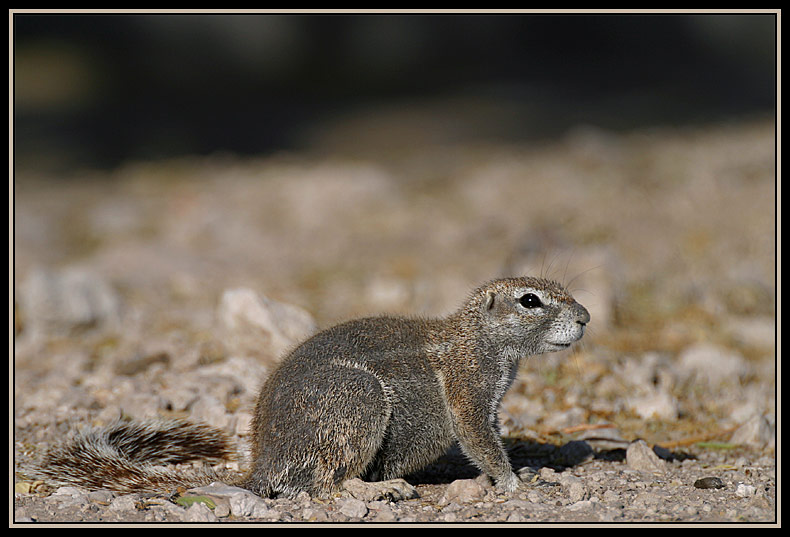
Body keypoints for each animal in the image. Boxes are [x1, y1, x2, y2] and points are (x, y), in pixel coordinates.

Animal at [26, 278, 588, 496]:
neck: (477, 338)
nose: (585, 317)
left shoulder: (491, 403)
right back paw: (380, 489)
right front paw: (516, 483)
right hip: (360, 399)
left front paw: (526, 473)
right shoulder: (470, 393)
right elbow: (479, 441)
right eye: (531, 300)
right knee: (323, 483)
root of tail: (261, 468)